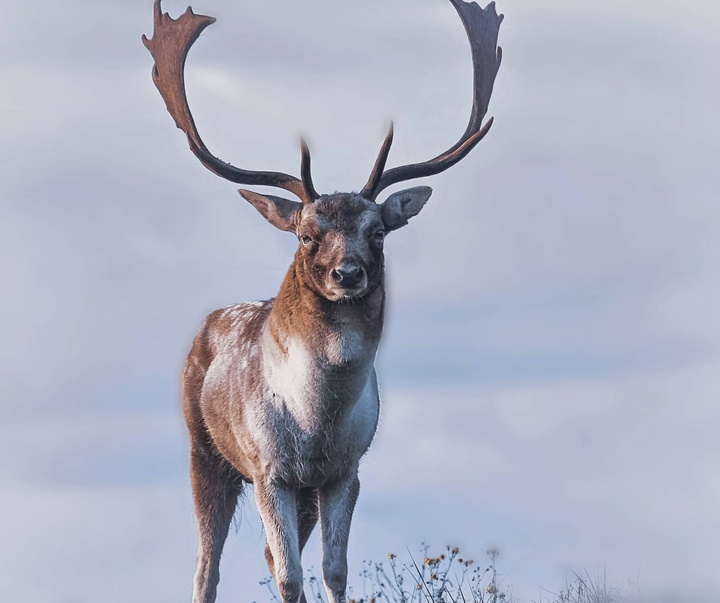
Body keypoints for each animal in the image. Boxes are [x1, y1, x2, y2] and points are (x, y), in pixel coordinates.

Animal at [139, 0, 500, 600]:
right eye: (307, 234)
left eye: (378, 231)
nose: (347, 272)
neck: (317, 422)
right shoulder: (269, 468)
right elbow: (290, 576)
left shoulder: (344, 471)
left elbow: (333, 568)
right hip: (205, 451)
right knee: (207, 564)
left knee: (265, 553)